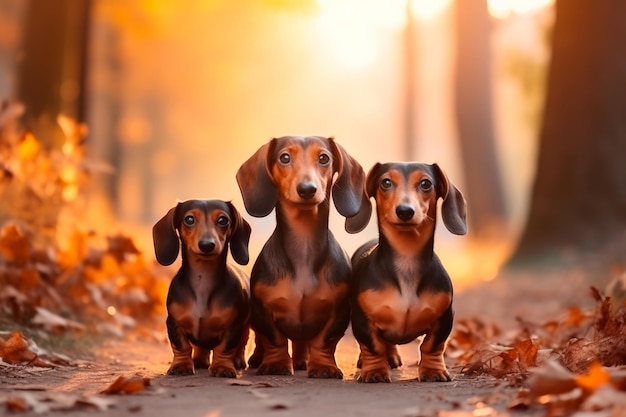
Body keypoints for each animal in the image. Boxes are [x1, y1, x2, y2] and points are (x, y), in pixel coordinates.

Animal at [152, 198, 251, 376]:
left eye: (223, 220)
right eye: (189, 219)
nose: (207, 245)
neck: (203, 278)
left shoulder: (233, 326)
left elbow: (225, 348)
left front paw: (223, 367)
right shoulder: (173, 323)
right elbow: (181, 346)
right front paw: (181, 366)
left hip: (246, 326)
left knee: (241, 344)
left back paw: (238, 361)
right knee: (201, 347)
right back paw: (199, 360)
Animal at [236, 136, 368, 376]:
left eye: (324, 158)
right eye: (284, 157)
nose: (307, 189)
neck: (303, 244)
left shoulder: (339, 311)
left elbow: (325, 340)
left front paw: (324, 367)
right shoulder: (262, 310)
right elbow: (273, 339)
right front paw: (276, 364)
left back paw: (301, 360)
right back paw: (259, 359)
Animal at [352, 161, 464, 382]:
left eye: (426, 183)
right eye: (386, 182)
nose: (405, 211)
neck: (407, 259)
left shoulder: (445, 316)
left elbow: (432, 345)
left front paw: (434, 371)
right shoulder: (361, 318)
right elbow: (373, 345)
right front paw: (375, 371)